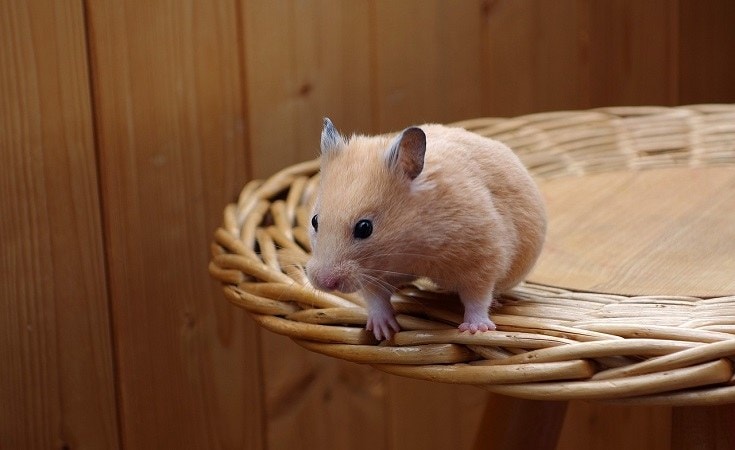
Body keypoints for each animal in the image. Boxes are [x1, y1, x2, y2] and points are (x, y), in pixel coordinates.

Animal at [306, 118, 546, 340]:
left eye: (365, 228)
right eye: (315, 221)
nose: (325, 283)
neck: (410, 248)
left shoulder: (483, 258)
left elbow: (477, 297)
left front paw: (475, 330)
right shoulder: (371, 274)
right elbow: (376, 298)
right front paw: (383, 331)